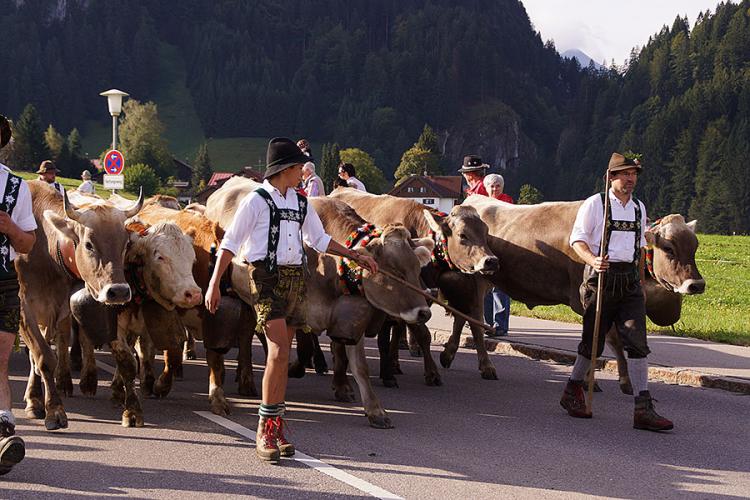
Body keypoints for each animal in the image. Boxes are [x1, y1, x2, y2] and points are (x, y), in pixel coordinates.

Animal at [17, 181, 144, 430]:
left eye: (126, 244)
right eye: (88, 244)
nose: (119, 291)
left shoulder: (59, 310)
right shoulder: (23, 307)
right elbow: (44, 357)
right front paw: (55, 410)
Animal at [464, 193, 704, 392]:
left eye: (695, 246)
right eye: (669, 248)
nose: (697, 284)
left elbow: (617, 341)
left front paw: (625, 381)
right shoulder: (588, 300)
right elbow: (598, 339)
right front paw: (590, 381)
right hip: (476, 280)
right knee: (475, 321)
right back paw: (487, 366)